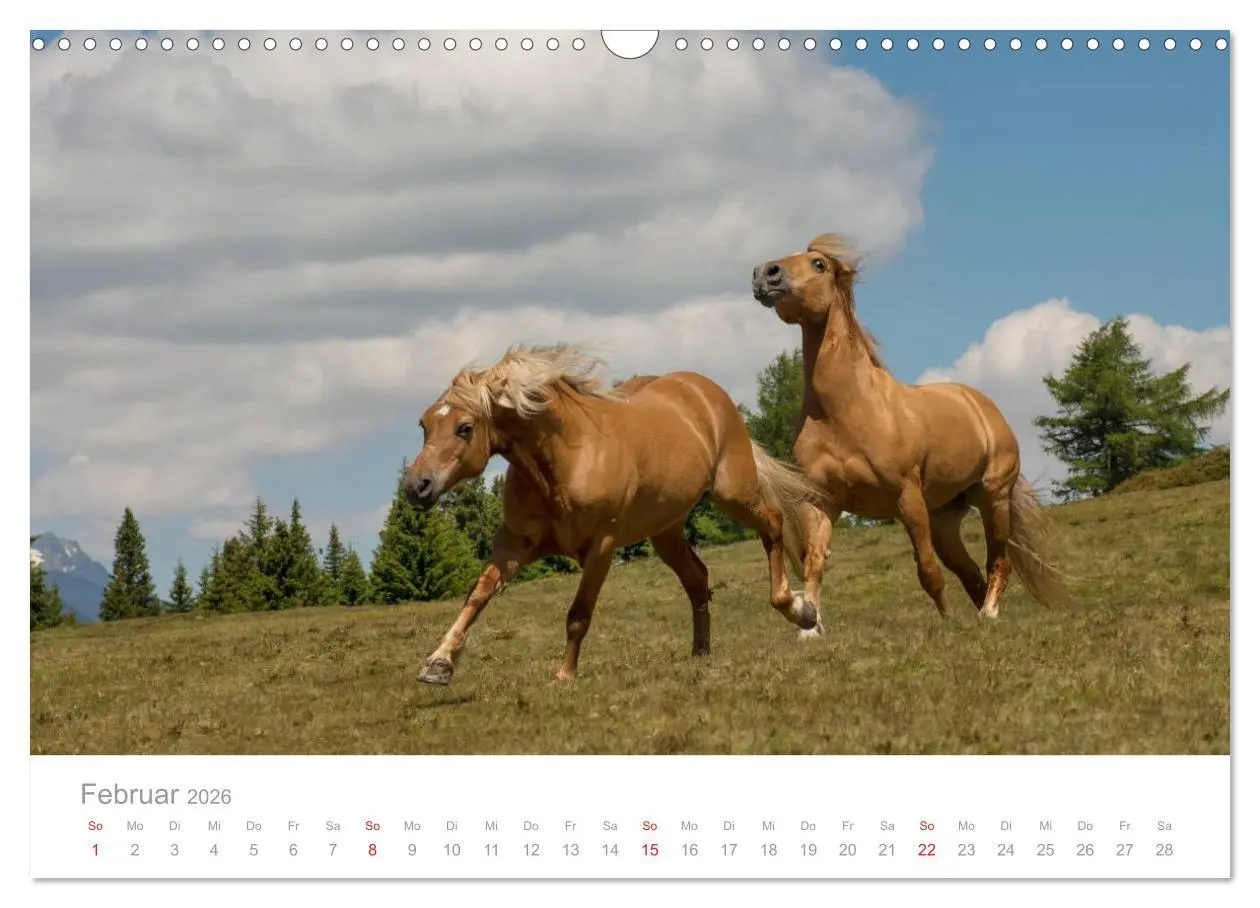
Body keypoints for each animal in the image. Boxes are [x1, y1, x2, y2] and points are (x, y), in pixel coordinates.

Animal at [402, 344, 828, 684]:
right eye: (424, 424)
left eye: (464, 427)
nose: (416, 486)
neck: (566, 459)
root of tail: (705, 391)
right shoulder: (514, 544)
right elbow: (477, 594)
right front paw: (438, 664)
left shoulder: (601, 547)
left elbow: (578, 614)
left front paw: (564, 675)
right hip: (666, 530)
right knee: (697, 579)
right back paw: (700, 652)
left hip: (733, 493)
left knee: (773, 524)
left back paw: (800, 611)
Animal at [750, 233, 1069, 627]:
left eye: (818, 264)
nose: (765, 273)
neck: (845, 411)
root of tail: (983, 405)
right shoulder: (820, 501)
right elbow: (813, 564)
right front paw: (807, 622)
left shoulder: (907, 497)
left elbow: (927, 571)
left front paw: (948, 623)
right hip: (944, 518)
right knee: (970, 572)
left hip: (993, 497)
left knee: (998, 561)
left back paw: (989, 614)